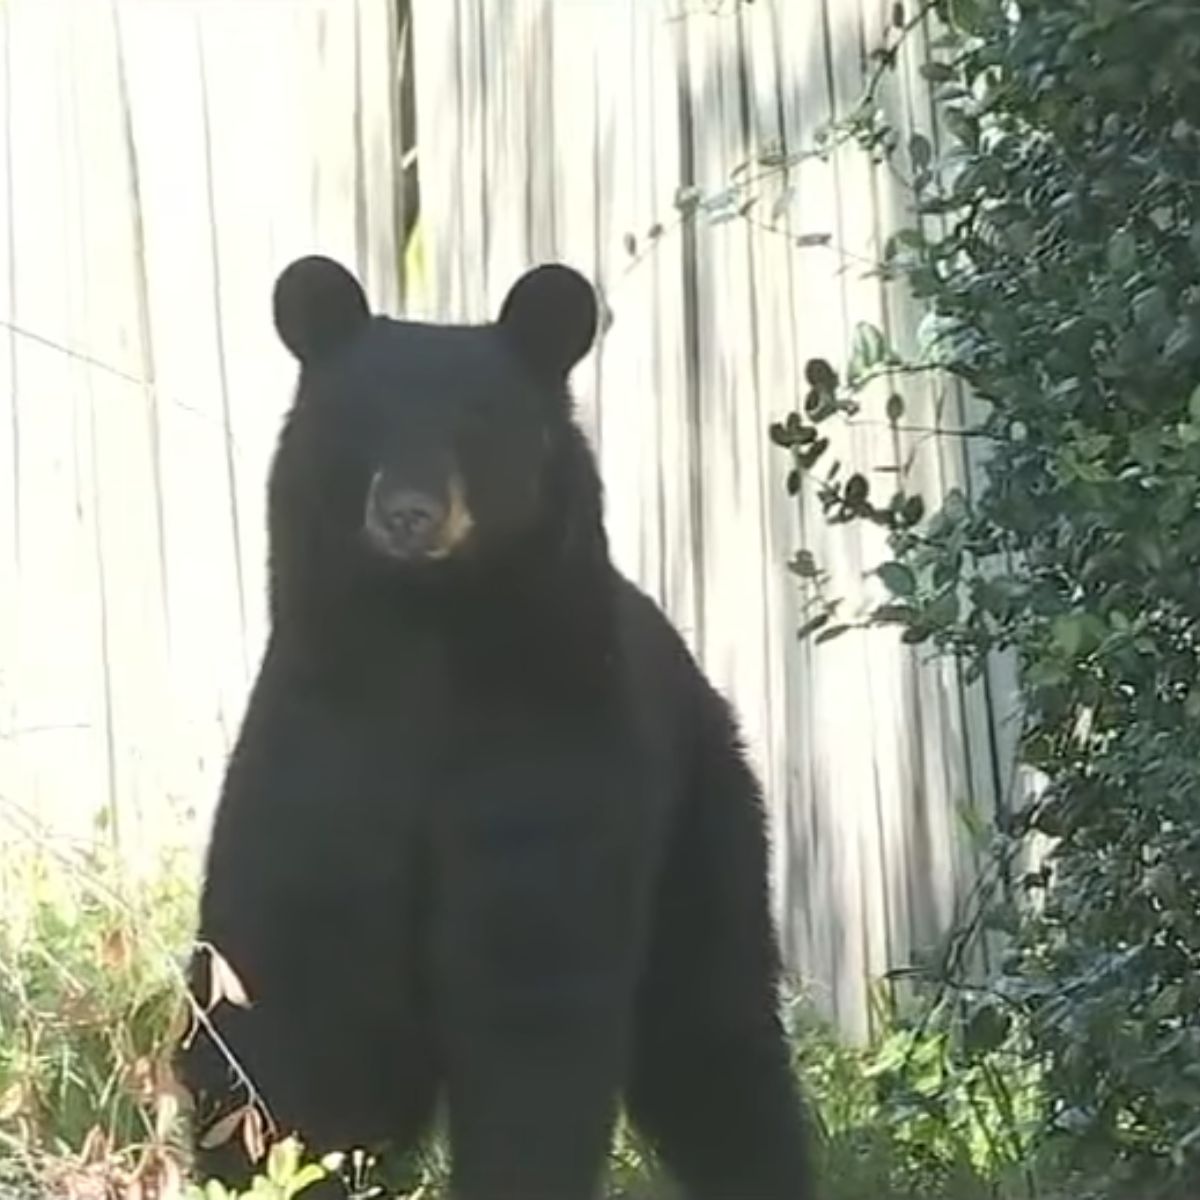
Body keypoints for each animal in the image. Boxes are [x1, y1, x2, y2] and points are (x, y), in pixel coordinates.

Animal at [175, 255, 814, 1200]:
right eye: (362, 419)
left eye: (477, 424)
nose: (409, 513)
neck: (429, 636)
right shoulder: (322, 751)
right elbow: (293, 998)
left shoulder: (554, 767)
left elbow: (531, 1007)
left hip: (707, 820)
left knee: (713, 1035)